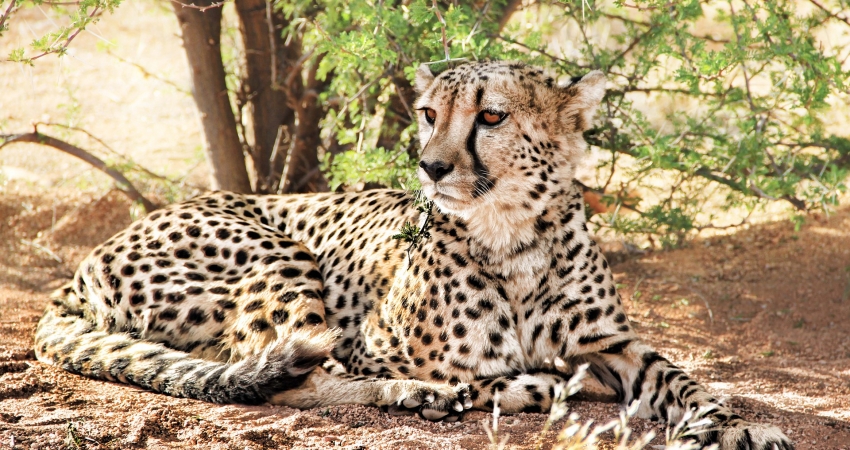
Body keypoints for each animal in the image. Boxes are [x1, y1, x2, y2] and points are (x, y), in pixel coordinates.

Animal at [33, 60, 788, 450]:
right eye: (430, 112)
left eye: (491, 116)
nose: (429, 166)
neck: (513, 234)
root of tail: (80, 269)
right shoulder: (370, 343)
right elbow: (491, 374)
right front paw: (495, 387)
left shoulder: (611, 344)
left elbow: (683, 380)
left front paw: (737, 426)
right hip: (278, 253)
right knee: (284, 370)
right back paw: (421, 396)